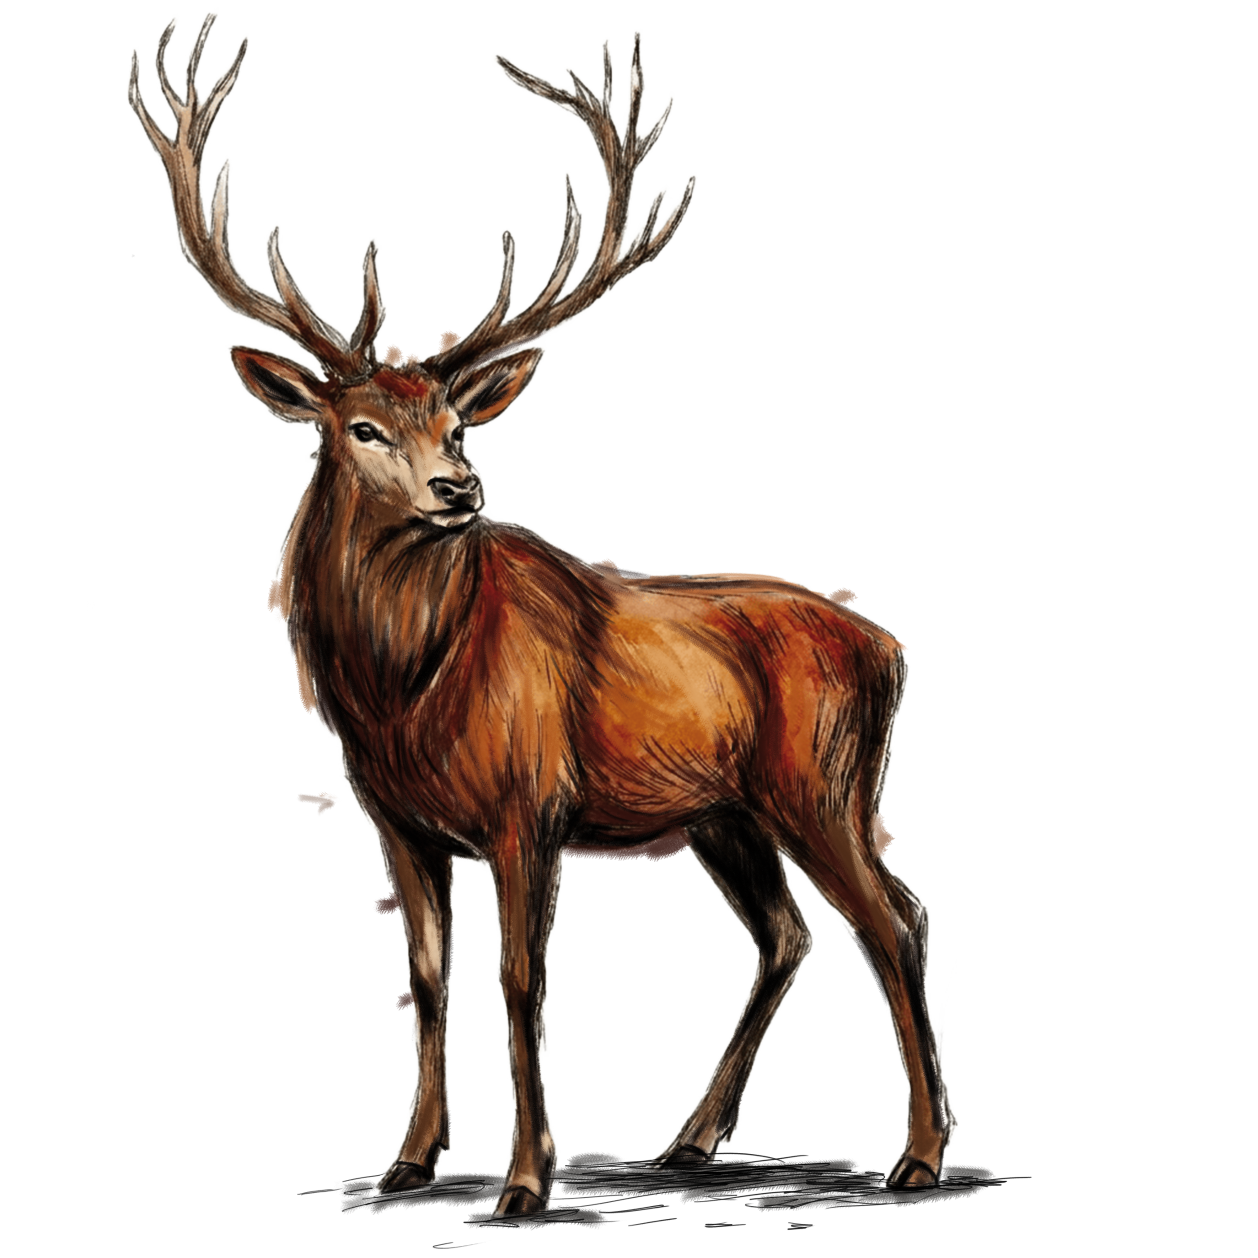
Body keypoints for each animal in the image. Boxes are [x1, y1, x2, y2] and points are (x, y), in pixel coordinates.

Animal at [127, 11, 956, 1216]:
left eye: (455, 425)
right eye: (362, 426)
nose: (458, 490)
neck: (403, 690)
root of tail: (892, 648)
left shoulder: (532, 801)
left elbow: (521, 980)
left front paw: (525, 1180)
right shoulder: (394, 818)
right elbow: (427, 977)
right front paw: (403, 1161)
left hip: (818, 778)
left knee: (890, 919)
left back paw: (920, 1154)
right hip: (726, 810)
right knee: (786, 930)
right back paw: (688, 1141)